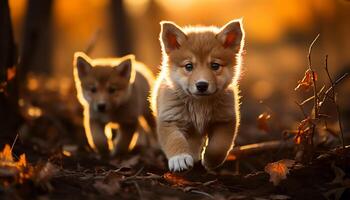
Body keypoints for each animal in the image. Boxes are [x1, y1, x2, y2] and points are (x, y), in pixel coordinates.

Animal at [151, 19, 246, 172]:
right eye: (189, 66)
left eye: (215, 66)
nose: (202, 85)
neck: (199, 105)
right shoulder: (170, 120)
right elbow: (175, 140)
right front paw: (180, 158)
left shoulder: (225, 120)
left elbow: (218, 146)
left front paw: (210, 160)